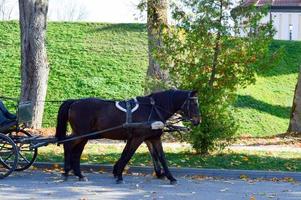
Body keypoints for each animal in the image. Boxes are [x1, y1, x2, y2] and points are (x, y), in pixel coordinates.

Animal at [55, 90, 200, 184]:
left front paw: (170, 177)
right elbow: (129, 154)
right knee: (68, 144)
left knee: (77, 151)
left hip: (84, 135)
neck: (152, 109)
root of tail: (75, 102)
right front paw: (119, 175)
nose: (198, 121)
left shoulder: (153, 138)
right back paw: (67, 171)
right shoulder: (138, 138)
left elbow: (160, 156)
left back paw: (79, 174)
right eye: (194, 104)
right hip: (81, 133)